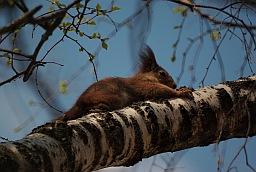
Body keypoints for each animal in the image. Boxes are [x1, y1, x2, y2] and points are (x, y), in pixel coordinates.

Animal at [58, 46, 193, 121]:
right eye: (162, 73)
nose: (175, 85)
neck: (145, 77)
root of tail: (77, 103)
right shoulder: (144, 85)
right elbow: (160, 90)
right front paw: (182, 92)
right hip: (113, 98)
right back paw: (101, 106)